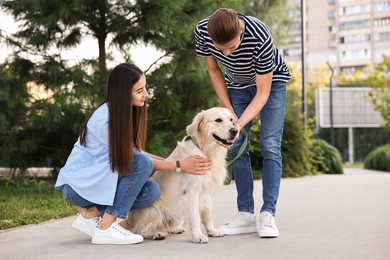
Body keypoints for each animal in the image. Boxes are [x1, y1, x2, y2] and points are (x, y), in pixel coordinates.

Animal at [122, 107, 236, 244]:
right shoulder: (192, 191)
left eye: (231, 120)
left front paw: (212, 231)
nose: (235, 131)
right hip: (154, 210)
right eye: (218, 120)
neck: (205, 150)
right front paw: (198, 236)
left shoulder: (206, 190)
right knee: (138, 230)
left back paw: (175, 228)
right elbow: (195, 217)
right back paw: (156, 234)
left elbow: (207, 213)